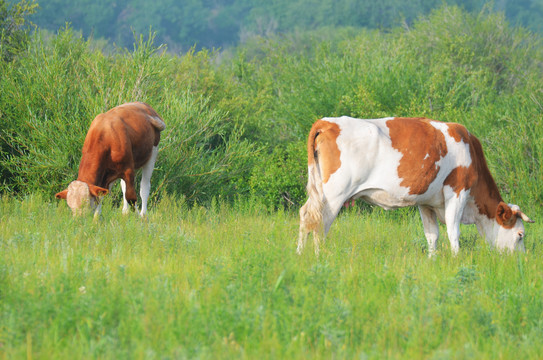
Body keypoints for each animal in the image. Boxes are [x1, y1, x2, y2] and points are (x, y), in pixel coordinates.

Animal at [296, 116, 532, 256]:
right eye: (520, 235)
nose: (522, 260)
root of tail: (328, 122)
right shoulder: (458, 192)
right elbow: (453, 231)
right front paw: (456, 259)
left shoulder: (426, 202)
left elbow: (432, 235)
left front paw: (432, 260)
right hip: (335, 193)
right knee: (321, 223)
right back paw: (319, 257)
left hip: (320, 189)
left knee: (306, 215)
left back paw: (300, 254)